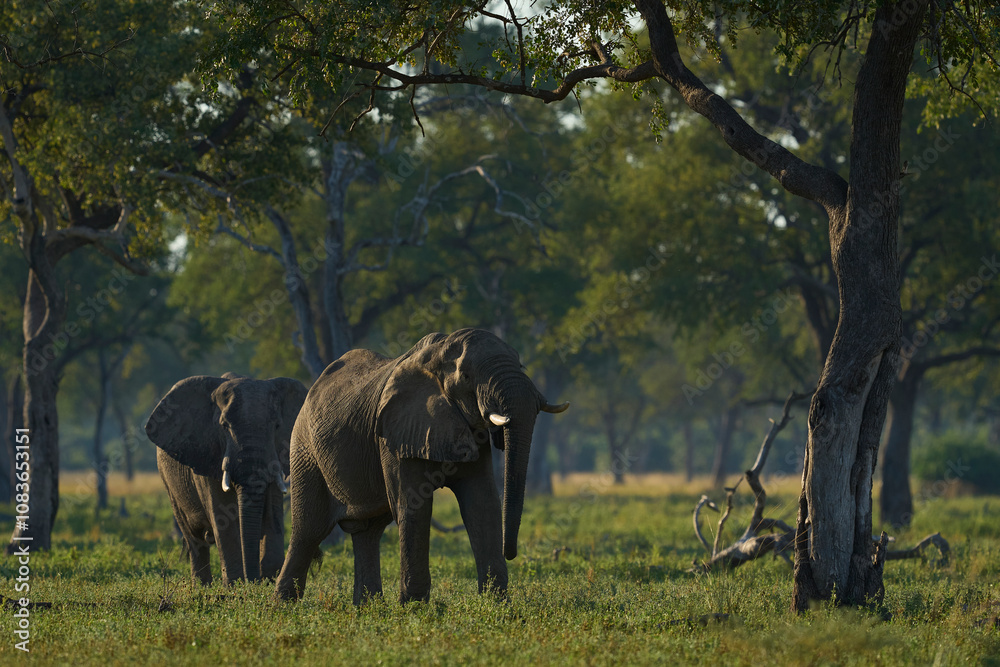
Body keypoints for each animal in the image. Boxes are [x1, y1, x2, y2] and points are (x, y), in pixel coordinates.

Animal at [145, 372, 308, 586]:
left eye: (277, 426)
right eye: (224, 426)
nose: (253, 581)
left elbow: (273, 516)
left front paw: (268, 580)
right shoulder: (208, 453)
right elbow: (223, 517)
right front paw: (236, 585)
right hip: (168, 483)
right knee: (194, 539)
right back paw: (202, 587)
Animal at [274, 328, 568, 604]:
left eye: (521, 365)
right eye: (466, 377)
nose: (511, 553)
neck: (438, 355)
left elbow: (481, 503)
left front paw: (497, 604)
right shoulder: (395, 432)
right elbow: (414, 505)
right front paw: (414, 609)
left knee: (368, 532)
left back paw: (368, 609)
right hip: (304, 448)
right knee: (308, 529)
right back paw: (283, 607)